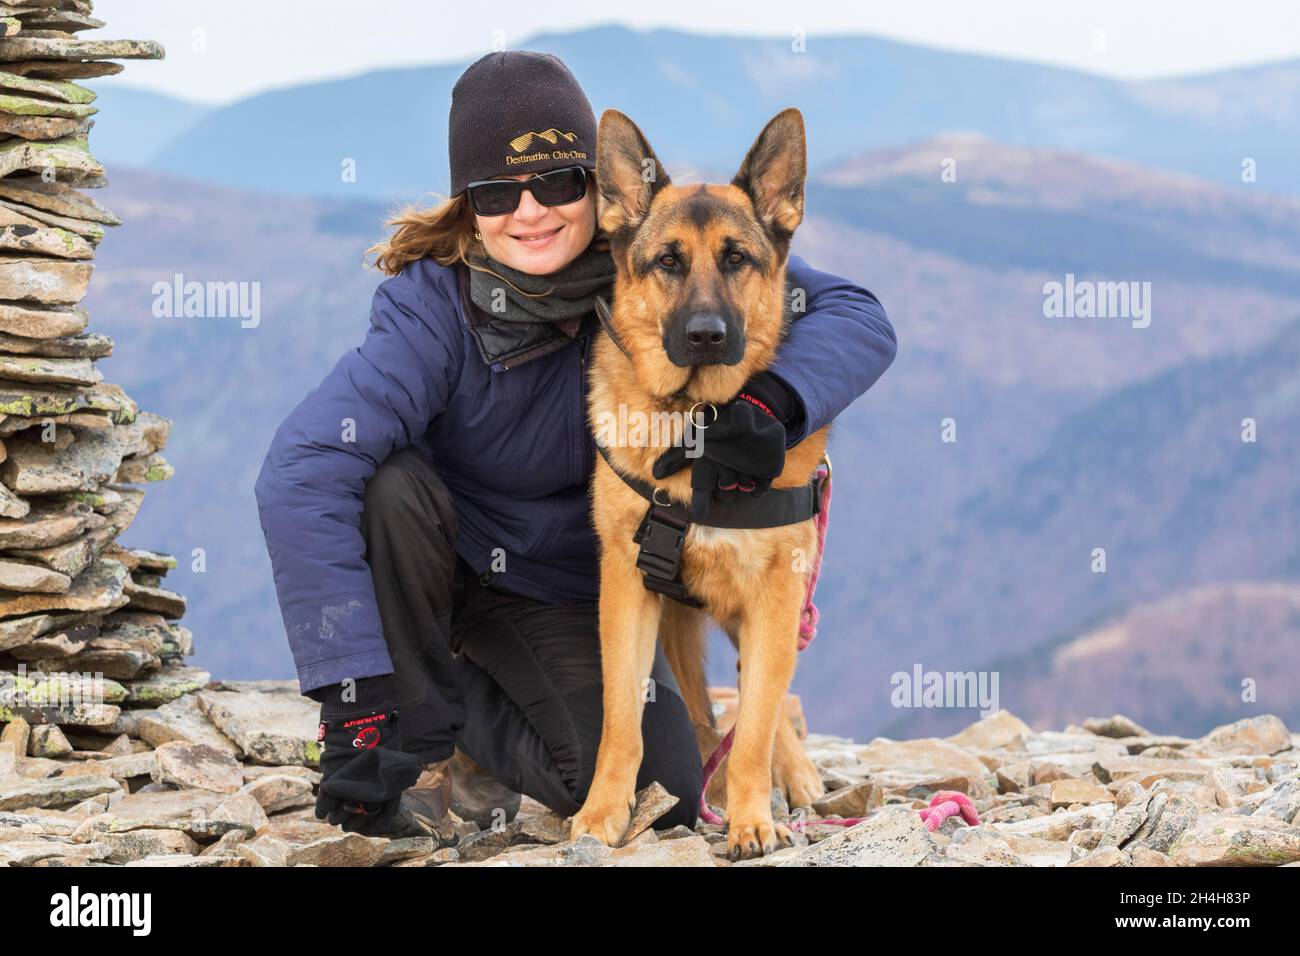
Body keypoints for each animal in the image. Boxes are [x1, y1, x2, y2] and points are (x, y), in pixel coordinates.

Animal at [572, 110, 832, 858]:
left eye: (737, 258)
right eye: (669, 261)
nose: (706, 335)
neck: (697, 431)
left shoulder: (775, 598)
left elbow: (756, 727)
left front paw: (751, 819)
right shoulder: (628, 590)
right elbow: (622, 721)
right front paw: (603, 813)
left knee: (759, 709)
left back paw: (789, 782)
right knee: (706, 715)